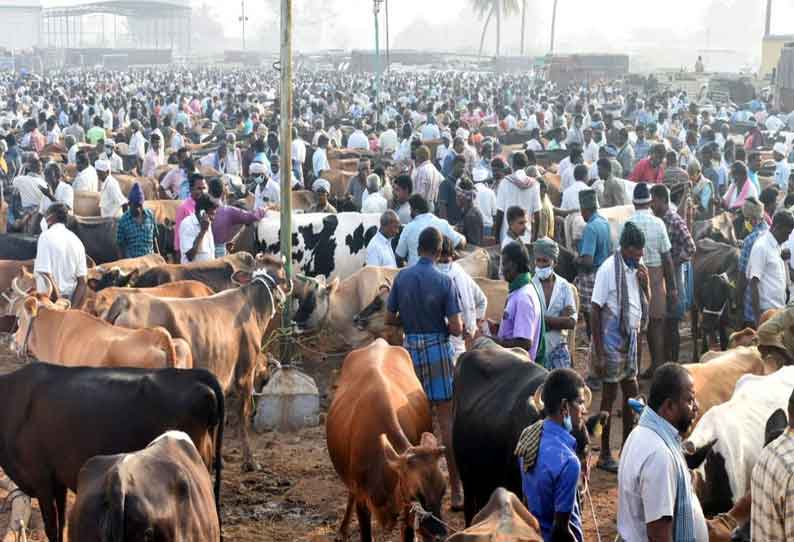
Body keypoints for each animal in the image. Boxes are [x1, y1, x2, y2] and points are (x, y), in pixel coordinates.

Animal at [103, 262, 286, 470]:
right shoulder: (244, 375)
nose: (284, 296)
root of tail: (125, 300)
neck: (251, 308)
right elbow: (242, 416)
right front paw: (250, 462)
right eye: (280, 279)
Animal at [324, 342, 446, 540]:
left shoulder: (406, 510)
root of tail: (379, 342)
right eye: (416, 495)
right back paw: (342, 530)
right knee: (350, 492)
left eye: (443, 490)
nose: (439, 535)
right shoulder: (362, 499)